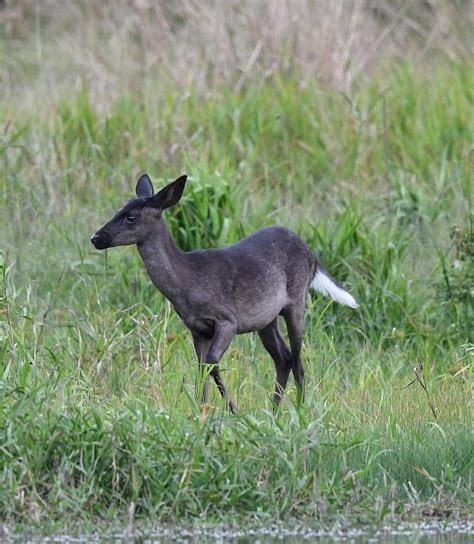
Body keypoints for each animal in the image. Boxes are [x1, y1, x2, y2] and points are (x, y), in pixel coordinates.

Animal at [91, 174, 360, 416]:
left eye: (131, 217)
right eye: (120, 209)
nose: (96, 237)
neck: (187, 283)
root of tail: (312, 255)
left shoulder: (227, 320)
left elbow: (212, 363)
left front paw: (233, 411)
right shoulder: (196, 329)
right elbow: (201, 369)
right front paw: (201, 413)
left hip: (296, 300)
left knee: (297, 361)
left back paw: (301, 413)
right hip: (266, 319)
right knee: (282, 358)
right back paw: (274, 413)